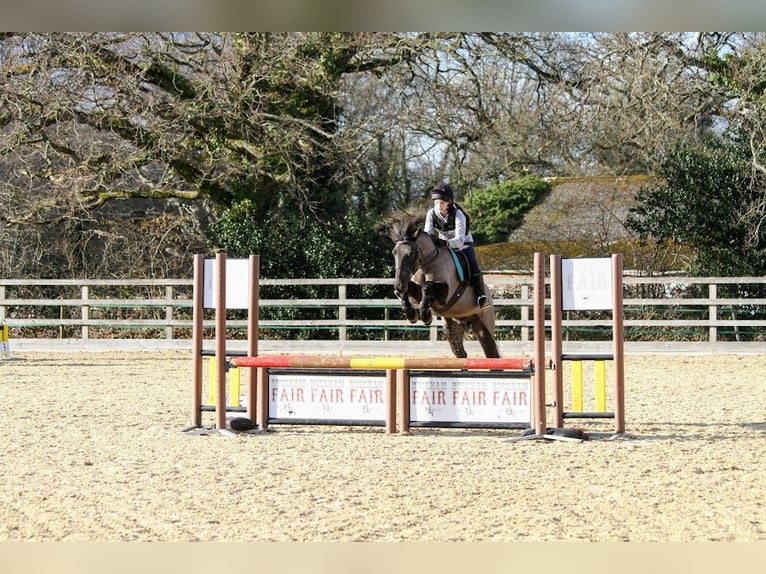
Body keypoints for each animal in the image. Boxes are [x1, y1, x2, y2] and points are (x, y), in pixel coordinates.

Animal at [390, 216, 504, 360]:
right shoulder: (415, 292)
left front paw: (425, 316)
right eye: (394, 253)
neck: (428, 265)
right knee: (460, 352)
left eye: (411, 253)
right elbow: (410, 290)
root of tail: (489, 295)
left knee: (491, 352)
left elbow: (427, 287)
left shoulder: (445, 294)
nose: (398, 285)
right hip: (453, 326)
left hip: (485, 324)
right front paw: (411, 314)